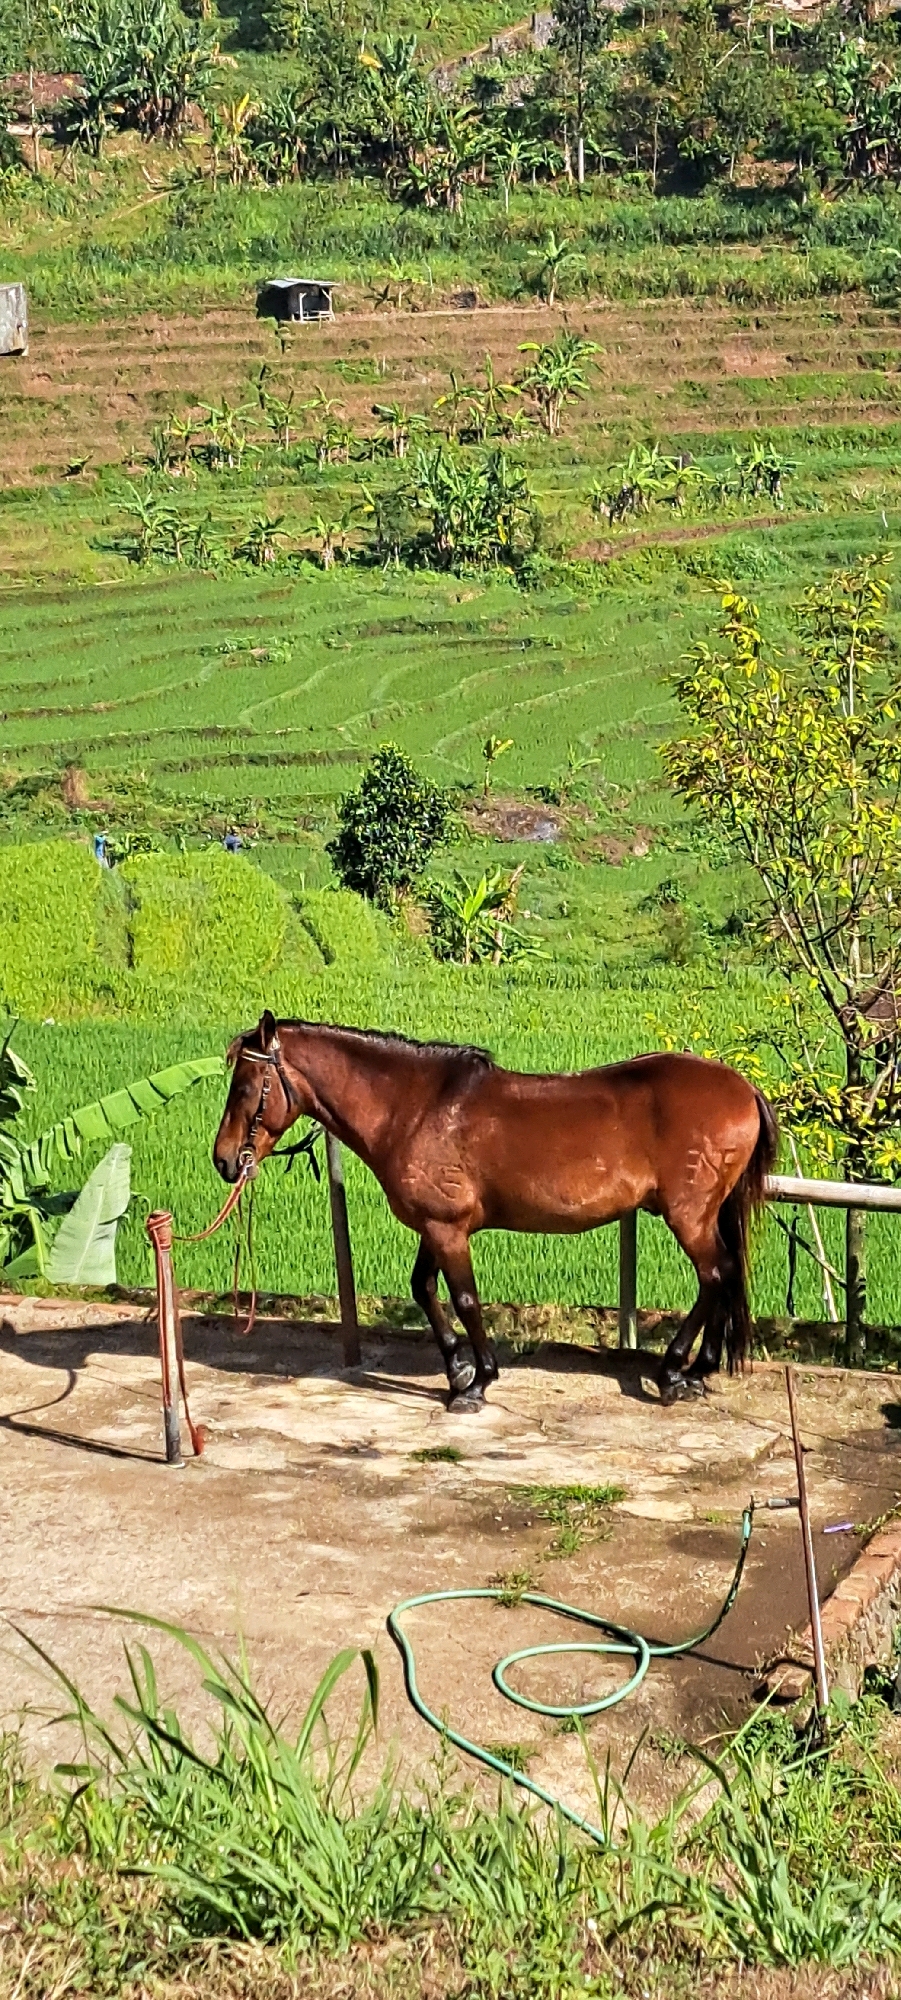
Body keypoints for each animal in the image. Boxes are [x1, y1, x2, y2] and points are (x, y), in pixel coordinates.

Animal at [213, 1012, 778, 1412]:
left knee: (714, 1275)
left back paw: (675, 1372)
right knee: (725, 1275)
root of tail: (743, 1087)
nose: (223, 1160)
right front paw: (458, 1369)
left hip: (690, 1215)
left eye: (244, 1088)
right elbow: (423, 1289)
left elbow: (464, 1298)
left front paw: (477, 1381)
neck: (414, 1109)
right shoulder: (435, 1226)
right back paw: (699, 1370)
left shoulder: (447, 1230)